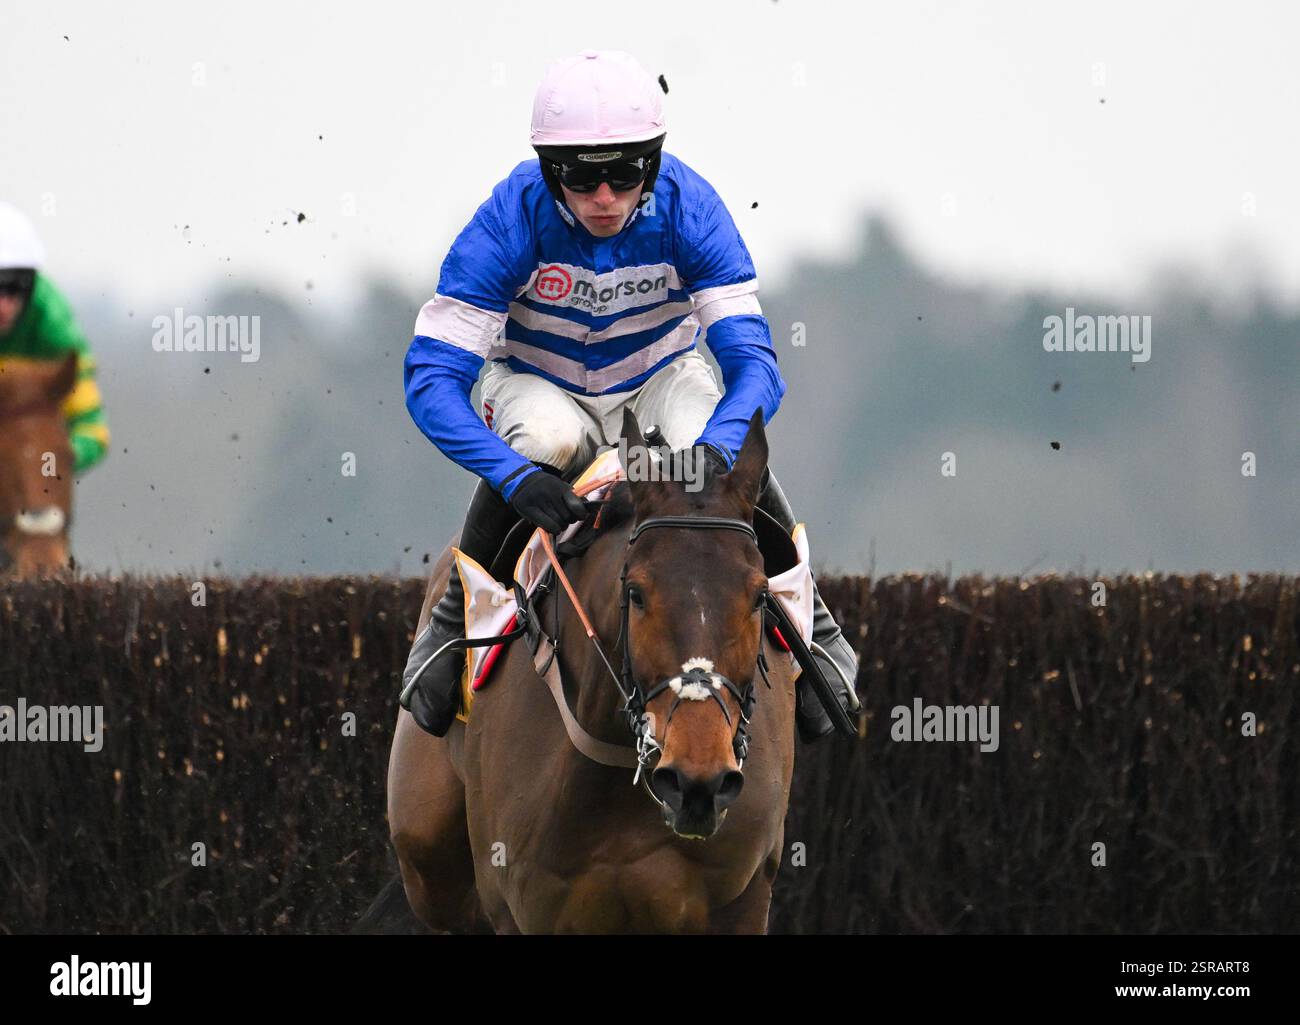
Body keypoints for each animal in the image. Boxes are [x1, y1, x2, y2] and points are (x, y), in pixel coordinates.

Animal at [379, 411, 795, 936]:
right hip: (427, 856)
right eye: (635, 592)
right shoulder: (523, 907)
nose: (697, 781)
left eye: (760, 596)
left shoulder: (742, 899)